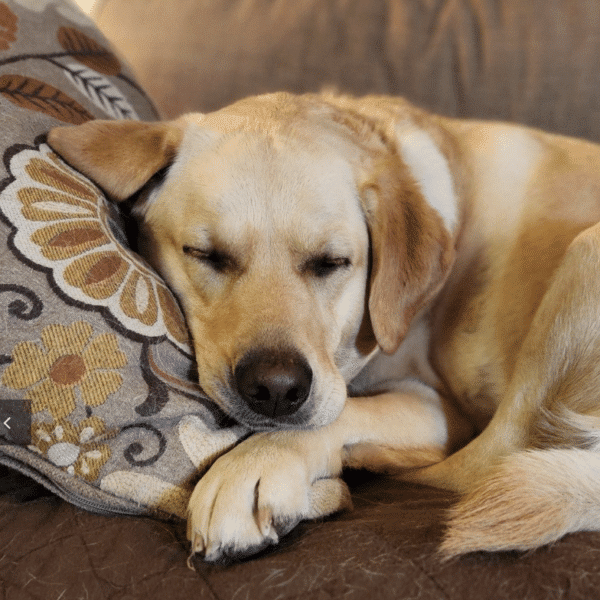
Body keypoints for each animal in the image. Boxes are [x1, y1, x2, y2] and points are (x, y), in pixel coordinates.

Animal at [48, 91, 600, 560]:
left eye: (331, 263)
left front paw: (255, 467)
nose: (275, 390)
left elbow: (343, 413)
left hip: (584, 252)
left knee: (481, 463)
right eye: (207, 255)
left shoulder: (440, 407)